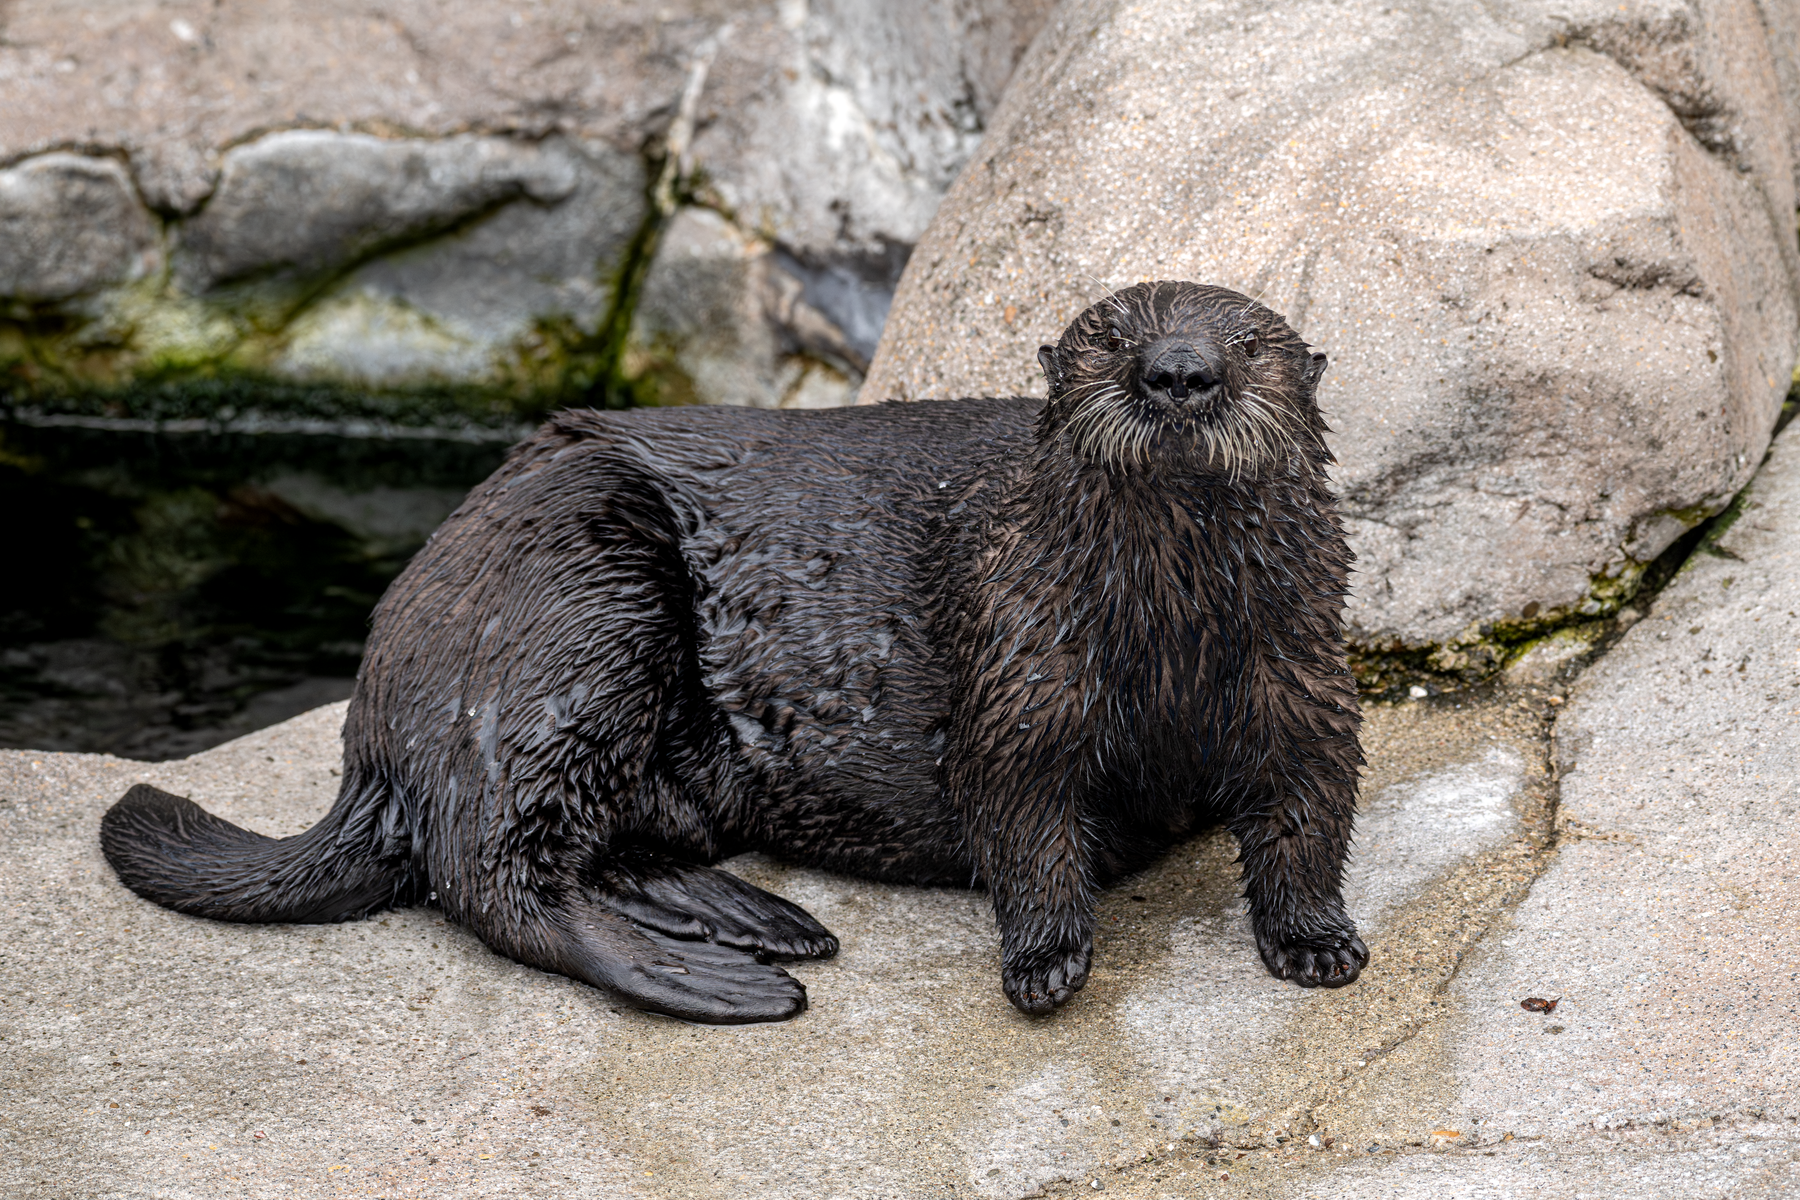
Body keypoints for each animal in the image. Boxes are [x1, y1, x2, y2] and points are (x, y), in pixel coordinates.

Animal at [101, 281, 1368, 1024]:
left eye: (1249, 343)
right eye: (1112, 338)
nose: (1179, 370)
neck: (1169, 642)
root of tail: (374, 735)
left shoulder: (1303, 669)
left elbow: (1309, 807)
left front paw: (1316, 943)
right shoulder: (1024, 673)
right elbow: (1023, 817)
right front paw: (1045, 965)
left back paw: (757, 919)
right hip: (573, 606)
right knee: (492, 871)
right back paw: (731, 977)